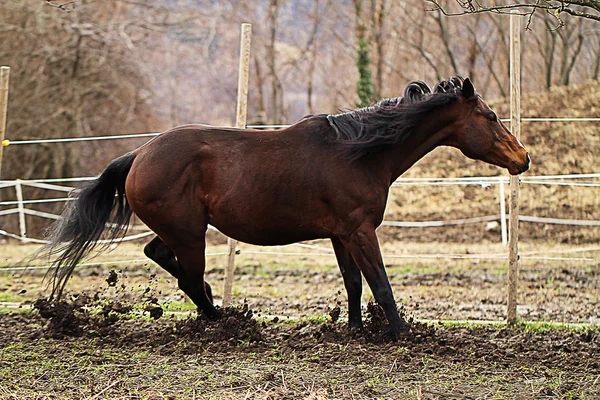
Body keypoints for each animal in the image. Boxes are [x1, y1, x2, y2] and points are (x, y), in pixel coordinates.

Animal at [37, 77, 528, 340]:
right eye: (490, 117)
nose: (522, 159)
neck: (360, 151)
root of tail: (139, 154)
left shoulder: (341, 233)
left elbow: (353, 284)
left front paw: (354, 331)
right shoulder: (361, 230)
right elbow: (381, 284)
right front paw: (404, 335)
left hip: (180, 230)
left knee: (161, 257)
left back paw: (218, 310)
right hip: (191, 234)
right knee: (189, 277)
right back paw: (224, 321)